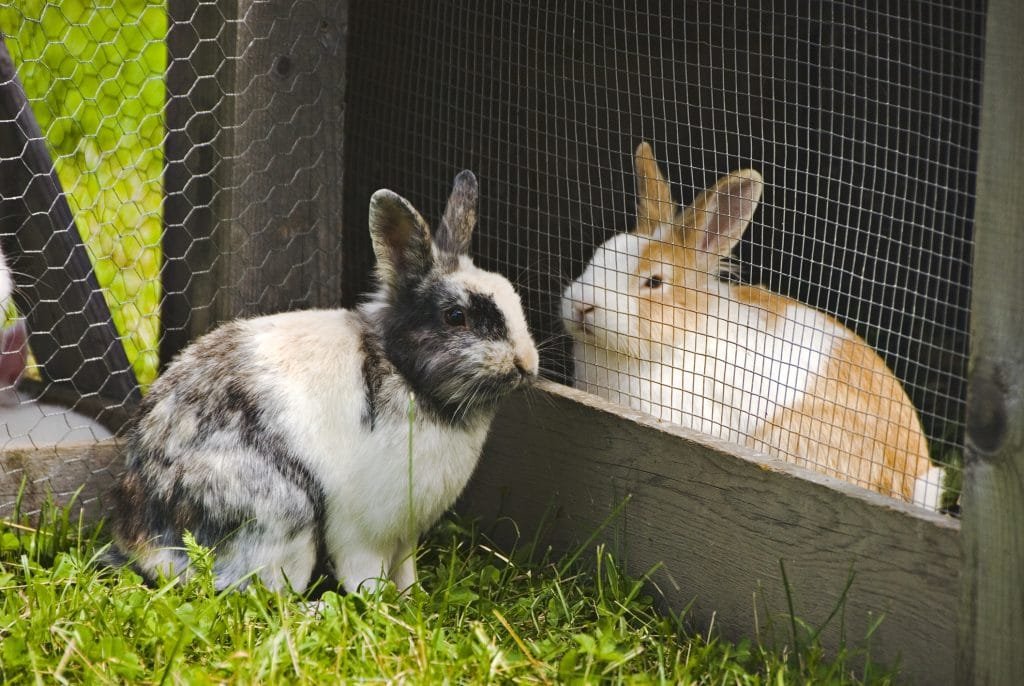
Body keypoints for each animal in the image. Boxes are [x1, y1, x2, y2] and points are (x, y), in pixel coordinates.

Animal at [112, 170, 540, 589]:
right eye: (455, 316)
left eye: (514, 298)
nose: (526, 364)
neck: (406, 373)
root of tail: (144, 541)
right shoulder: (362, 533)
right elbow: (365, 575)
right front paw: (381, 604)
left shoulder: (405, 535)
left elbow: (405, 570)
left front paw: (412, 598)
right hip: (286, 518)